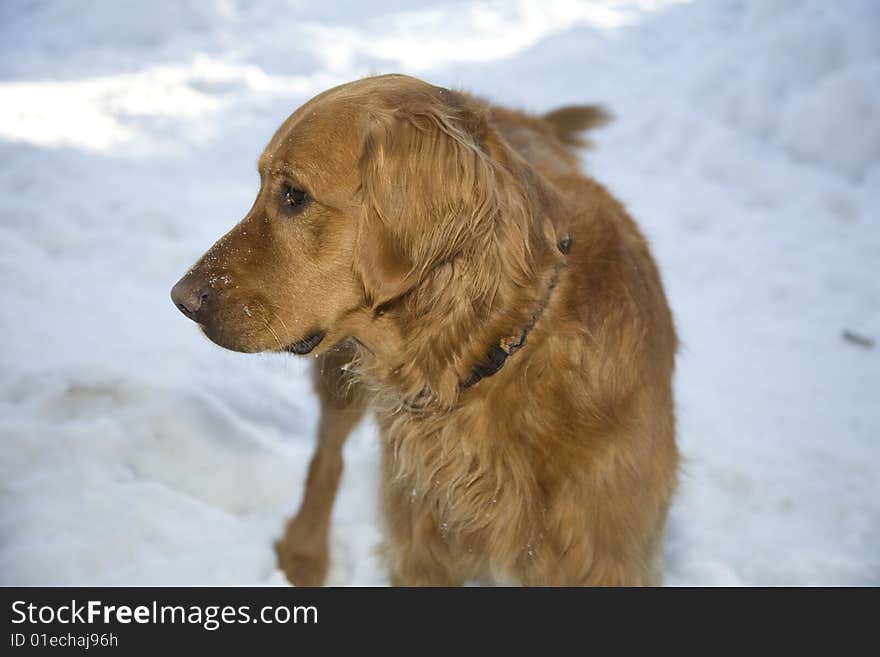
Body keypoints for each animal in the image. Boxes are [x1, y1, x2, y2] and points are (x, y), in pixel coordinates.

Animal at [172, 73, 680, 584]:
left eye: (294, 194)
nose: (181, 299)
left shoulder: (607, 556)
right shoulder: (421, 548)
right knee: (326, 457)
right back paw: (304, 556)